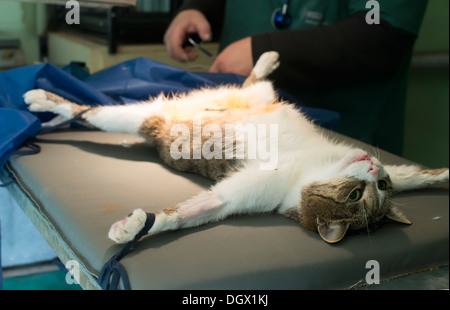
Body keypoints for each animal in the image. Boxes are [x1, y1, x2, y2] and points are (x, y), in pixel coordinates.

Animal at [22, 52, 450, 243]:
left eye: (376, 189)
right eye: (359, 193)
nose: (376, 169)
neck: (311, 168)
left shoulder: (244, 195)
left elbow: (196, 210)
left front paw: (138, 226)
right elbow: (416, 175)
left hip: (154, 116)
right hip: (209, 107)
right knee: (86, 110)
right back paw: (44, 98)